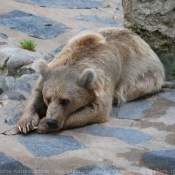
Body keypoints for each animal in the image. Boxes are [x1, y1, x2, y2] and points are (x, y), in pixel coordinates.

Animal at [15, 27, 165, 134]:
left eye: (65, 101)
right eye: (48, 98)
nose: (51, 121)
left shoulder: (103, 82)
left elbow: (97, 110)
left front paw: (42, 125)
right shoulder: (49, 73)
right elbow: (35, 95)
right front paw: (25, 123)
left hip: (145, 76)